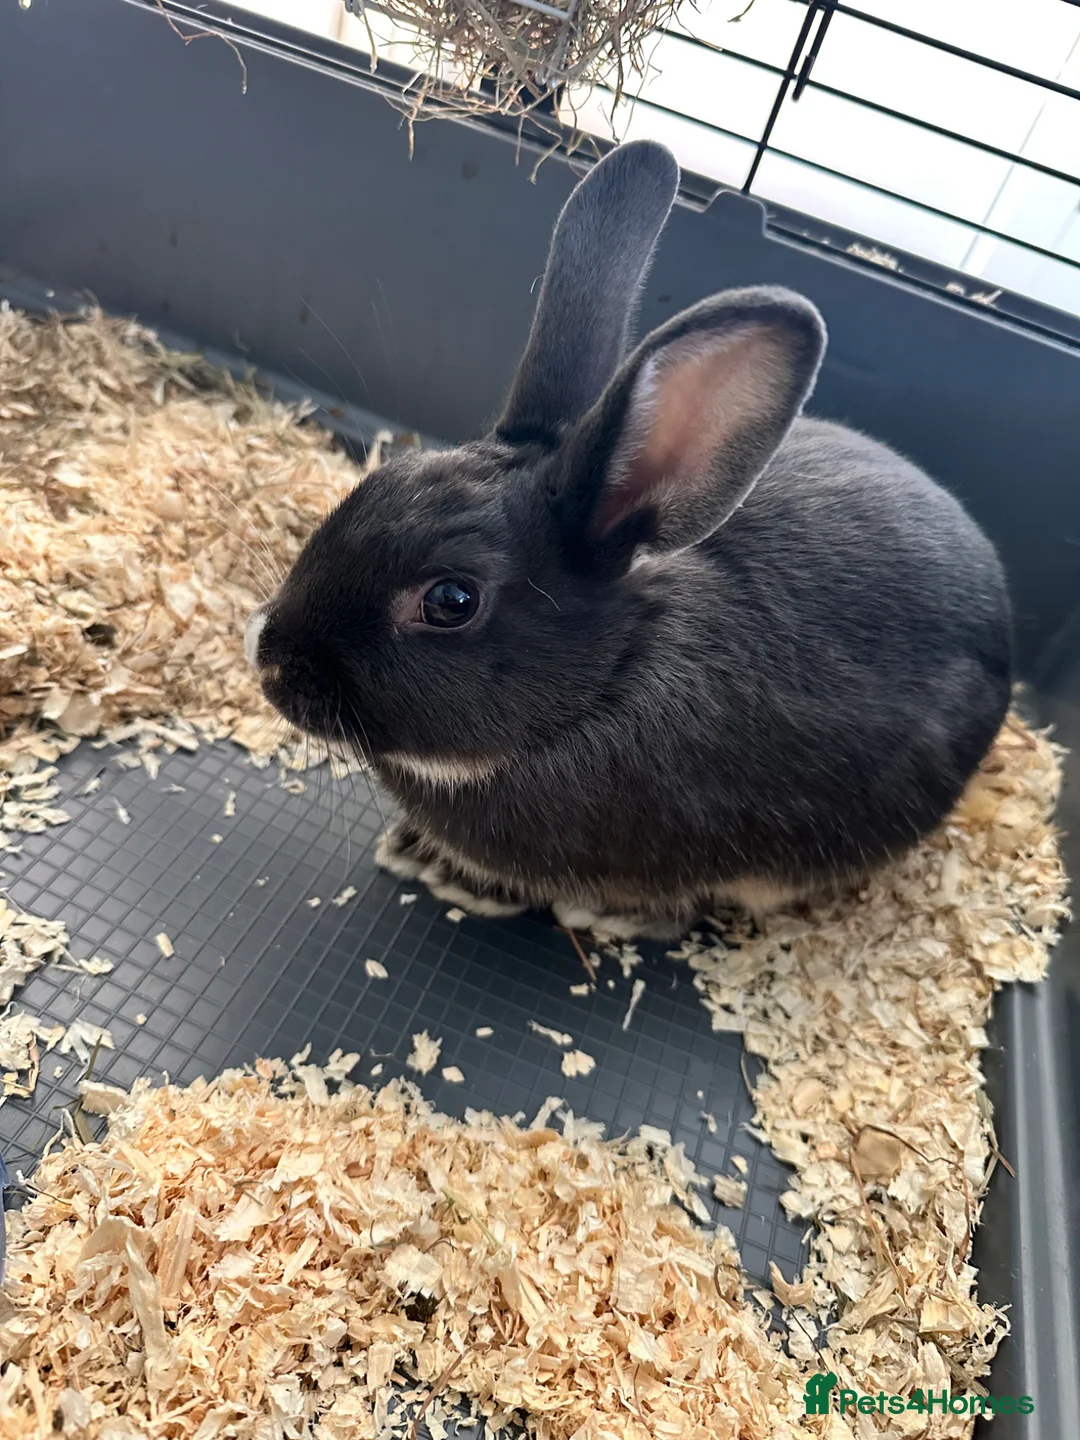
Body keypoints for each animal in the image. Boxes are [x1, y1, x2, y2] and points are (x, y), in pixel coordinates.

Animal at [245, 139, 1011, 941]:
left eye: (451, 600)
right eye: (378, 482)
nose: (268, 658)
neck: (608, 680)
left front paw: (514, 893)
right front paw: (414, 849)